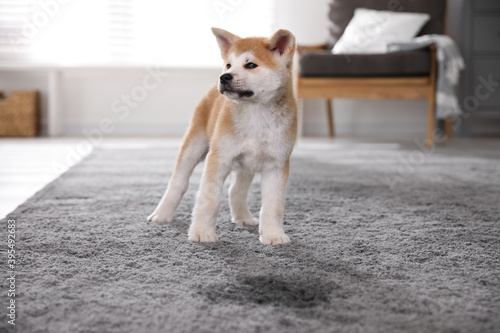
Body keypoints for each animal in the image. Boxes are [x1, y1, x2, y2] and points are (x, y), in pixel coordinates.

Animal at [148, 27, 296, 244]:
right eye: (228, 64)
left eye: (250, 65)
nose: (224, 76)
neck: (256, 115)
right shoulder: (219, 158)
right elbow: (209, 200)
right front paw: (202, 232)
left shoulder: (277, 164)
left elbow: (273, 205)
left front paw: (273, 234)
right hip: (195, 144)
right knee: (177, 183)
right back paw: (162, 213)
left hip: (247, 165)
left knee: (236, 190)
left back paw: (243, 217)